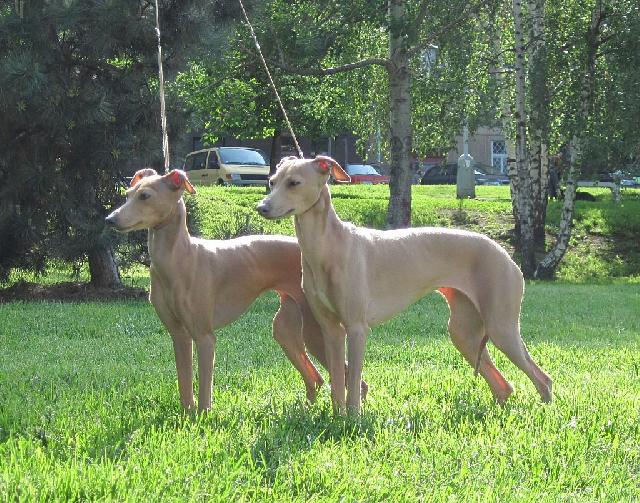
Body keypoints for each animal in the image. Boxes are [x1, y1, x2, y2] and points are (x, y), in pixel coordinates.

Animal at [105, 168, 366, 412]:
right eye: (128, 194)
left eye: (145, 196)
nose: (109, 219)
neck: (180, 257)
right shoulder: (178, 335)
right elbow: (184, 385)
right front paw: (187, 416)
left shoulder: (204, 337)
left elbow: (204, 391)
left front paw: (202, 418)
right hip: (286, 330)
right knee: (316, 379)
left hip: (316, 332)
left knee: (354, 382)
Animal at [256, 156, 552, 415]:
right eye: (272, 181)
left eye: (294, 182)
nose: (262, 208)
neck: (329, 245)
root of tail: (506, 256)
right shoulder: (331, 329)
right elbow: (337, 382)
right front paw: (336, 418)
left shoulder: (356, 328)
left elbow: (353, 380)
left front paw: (353, 419)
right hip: (464, 333)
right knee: (504, 386)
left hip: (501, 327)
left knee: (542, 378)